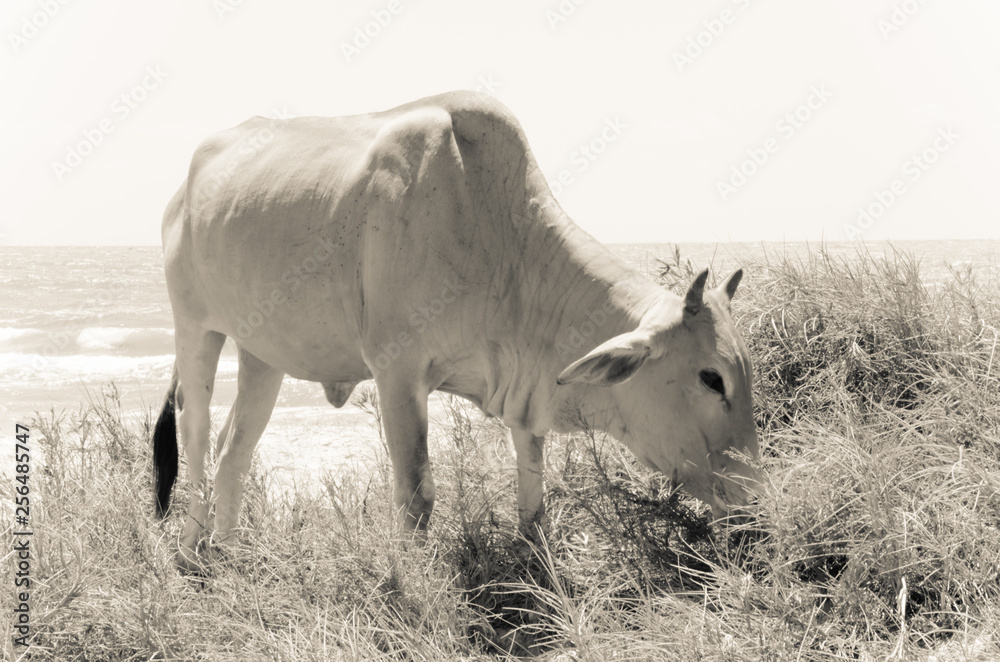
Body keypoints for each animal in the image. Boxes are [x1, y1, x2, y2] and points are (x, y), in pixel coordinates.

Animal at [153, 90, 759, 568]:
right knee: (198, 435)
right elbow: (416, 497)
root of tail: (185, 186)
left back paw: (231, 554)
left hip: (262, 354)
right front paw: (414, 589)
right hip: (194, 326)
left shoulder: (528, 393)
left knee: (234, 451)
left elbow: (534, 498)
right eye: (711, 379)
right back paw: (189, 553)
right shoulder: (398, 371)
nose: (755, 502)